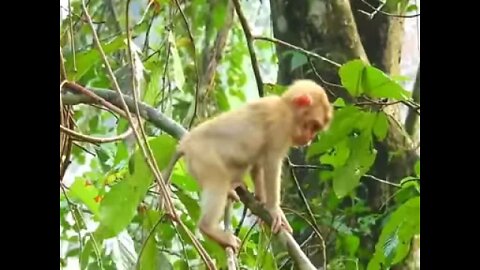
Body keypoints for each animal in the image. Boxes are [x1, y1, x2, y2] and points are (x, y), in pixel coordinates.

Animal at [163, 79, 332, 252]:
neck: (285, 108)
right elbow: (271, 163)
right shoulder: (280, 127)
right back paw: (209, 227)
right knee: (218, 181)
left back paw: (233, 188)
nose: (309, 139)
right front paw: (274, 210)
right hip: (204, 157)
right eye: (313, 125)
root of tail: (185, 144)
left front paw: (261, 201)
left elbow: (258, 164)